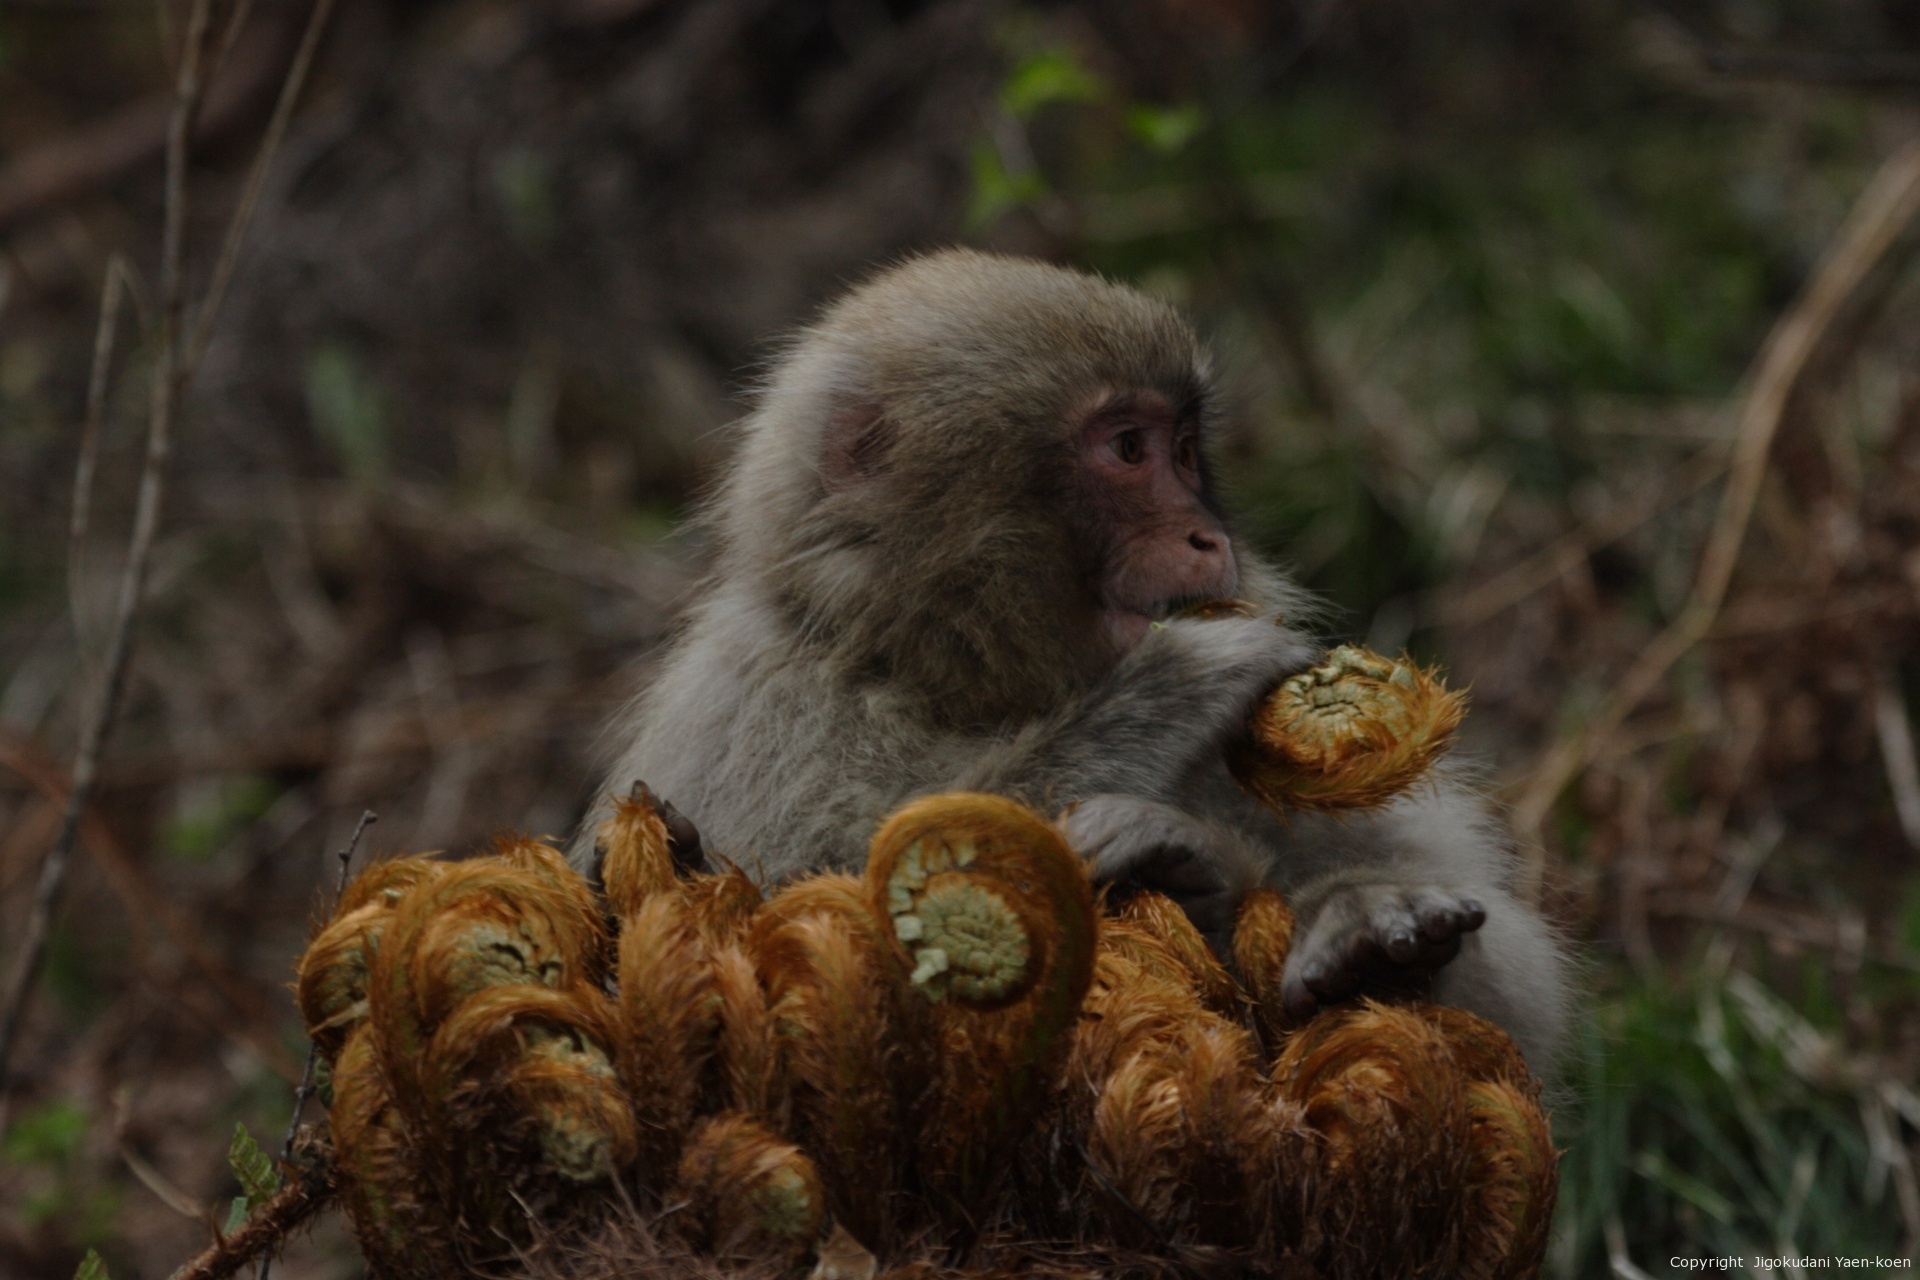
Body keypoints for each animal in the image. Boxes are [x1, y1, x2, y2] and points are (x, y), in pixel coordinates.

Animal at [573, 248, 1570, 1072]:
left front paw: (1235, 877)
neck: (955, 679)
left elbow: (1521, 1008)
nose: (1208, 537)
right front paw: (1171, 699)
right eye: (1128, 449)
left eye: (1183, 450)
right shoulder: (754, 712)